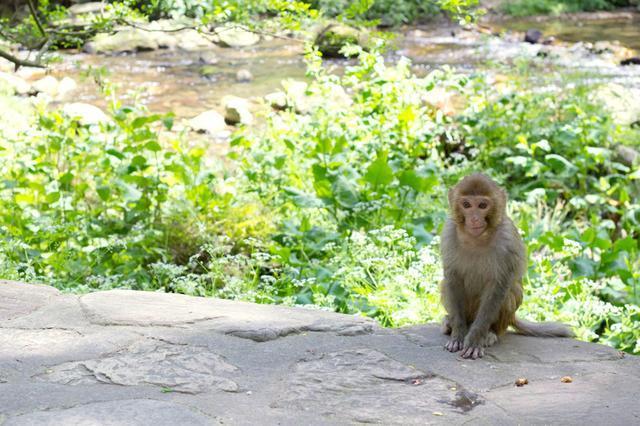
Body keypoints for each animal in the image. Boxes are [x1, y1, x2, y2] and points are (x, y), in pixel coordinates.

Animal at [440, 173, 576, 360]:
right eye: (466, 205)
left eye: (482, 205)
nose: (474, 218)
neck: (477, 239)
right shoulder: (449, 233)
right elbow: (452, 280)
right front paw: (458, 334)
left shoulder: (507, 240)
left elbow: (498, 287)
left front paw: (475, 339)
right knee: (444, 284)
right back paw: (450, 323)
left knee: (510, 293)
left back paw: (490, 333)